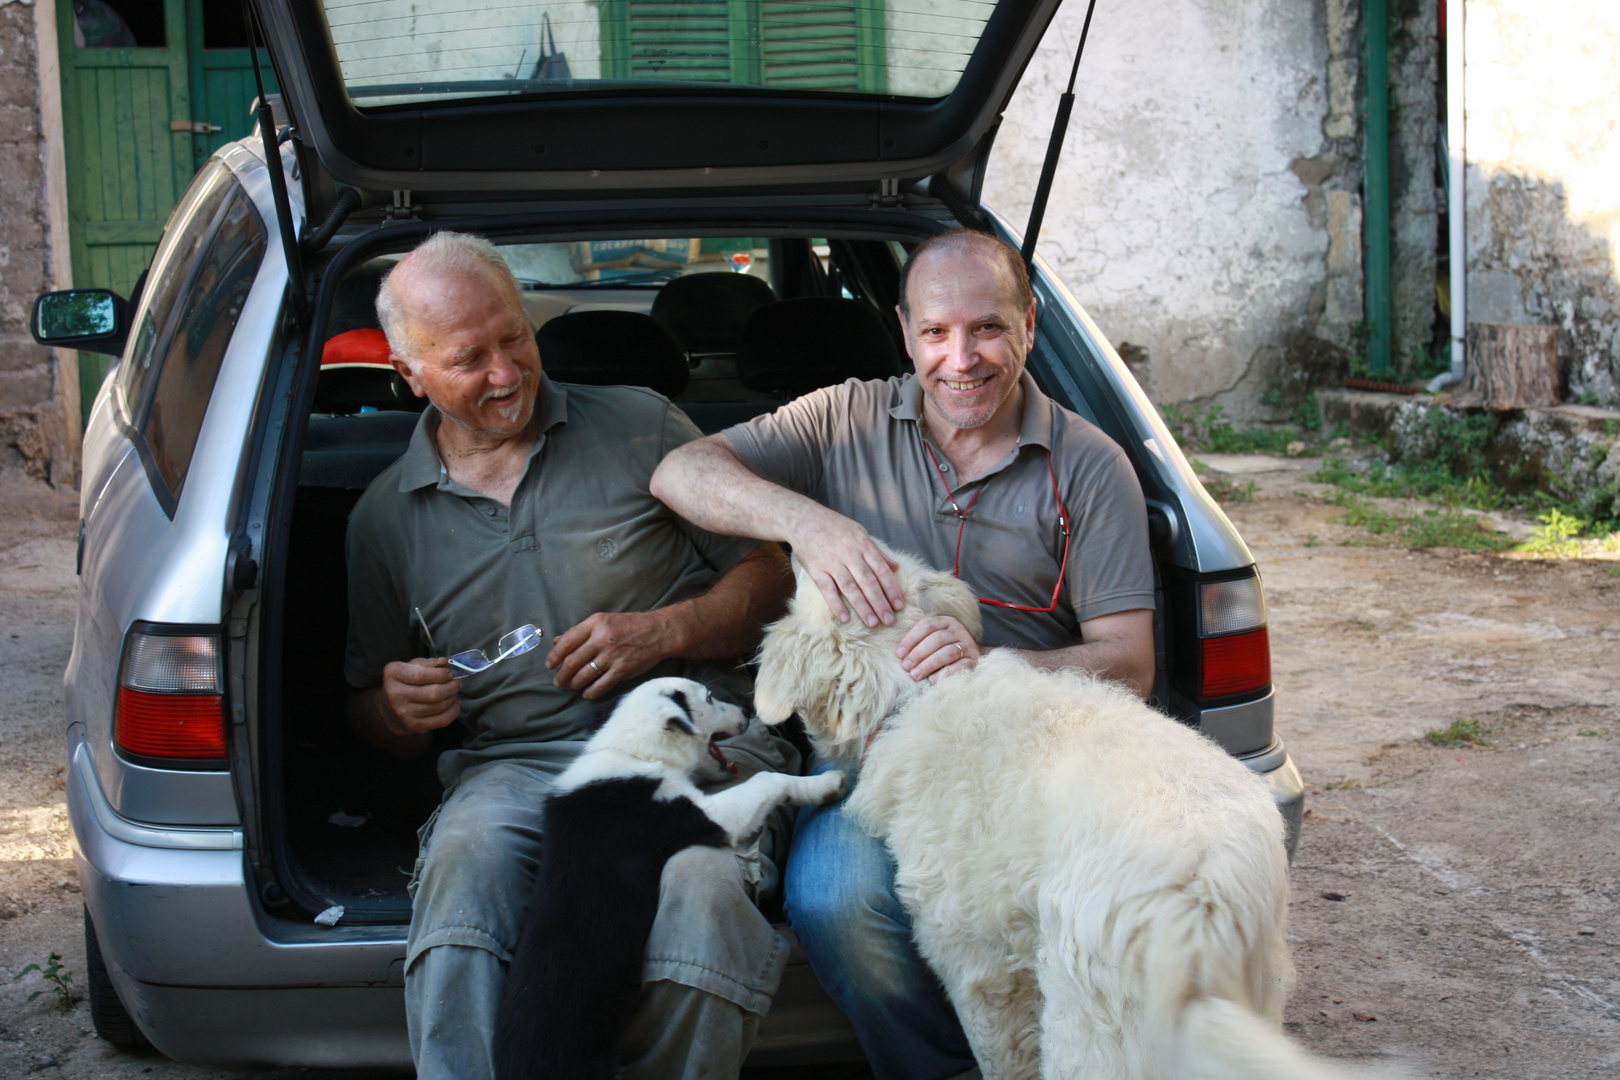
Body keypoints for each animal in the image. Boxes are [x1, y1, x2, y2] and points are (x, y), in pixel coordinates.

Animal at [489, 680, 848, 1075]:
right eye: (709, 698)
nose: (747, 710)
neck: (634, 752)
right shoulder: (700, 814)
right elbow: (767, 780)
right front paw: (826, 783)